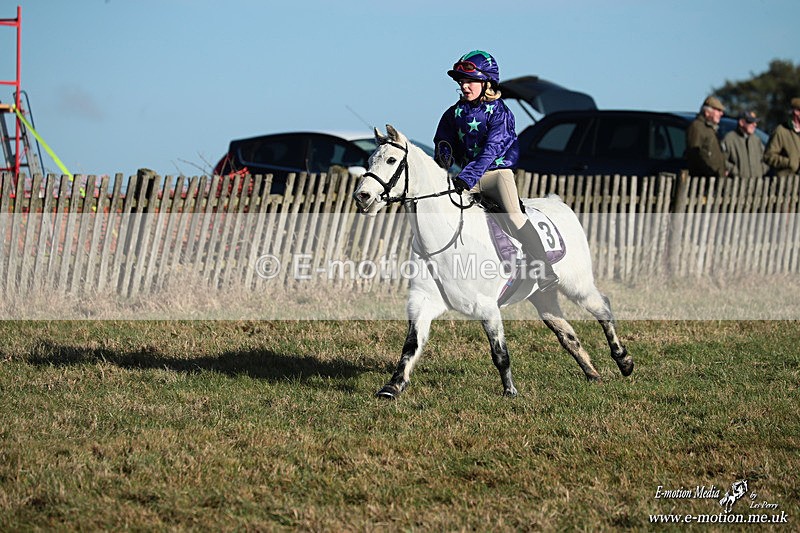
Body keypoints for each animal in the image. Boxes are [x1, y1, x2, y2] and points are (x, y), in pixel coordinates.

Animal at [352, 125, 633, 398]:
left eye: (391, 160)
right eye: (370, 159)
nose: (362, 197)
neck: (448, 238)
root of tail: (559, 203)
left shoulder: (487, 307)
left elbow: (500, 353)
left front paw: (509, 391)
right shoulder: (423, 301)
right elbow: (411, 346)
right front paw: (392, 387)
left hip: (577, 285)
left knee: (602, 308)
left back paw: (624, 361)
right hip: (543, 296)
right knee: (567, 334)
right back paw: (592, 373)